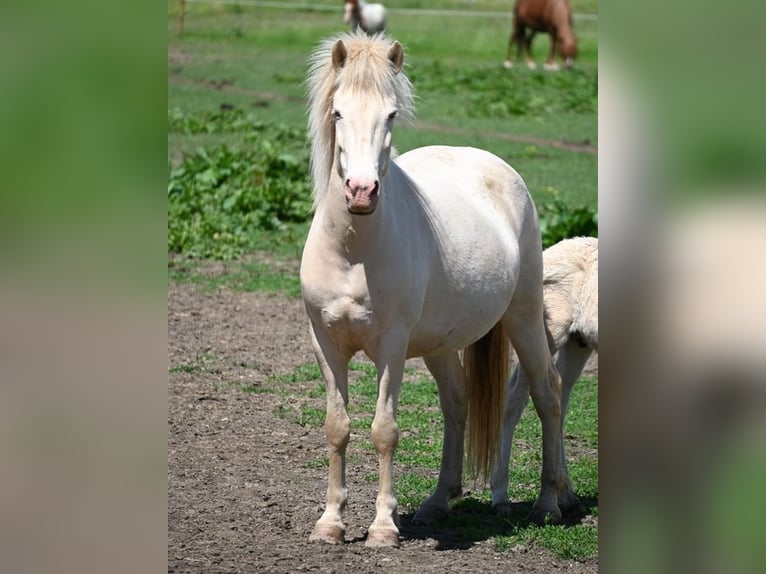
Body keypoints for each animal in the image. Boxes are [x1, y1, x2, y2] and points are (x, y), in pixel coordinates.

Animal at [301, 32, 578, 548]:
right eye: (338, 113)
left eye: (390, 114)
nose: (361, 192)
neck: (353, 252)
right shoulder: (324, 341)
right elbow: (337, 427)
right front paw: (330, 523)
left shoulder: (391, 345)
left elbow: (384, 430)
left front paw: (383, 528)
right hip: (440, 344)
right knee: (457, 402)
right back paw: (436, 502)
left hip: (524, 314)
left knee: (547, 392)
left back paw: (549, 503)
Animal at [491, 236, 598, 512]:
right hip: (548, 331)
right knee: (517, 395)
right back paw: (501, 494)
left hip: (577, 343)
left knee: (561, 395)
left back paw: (567, 495)